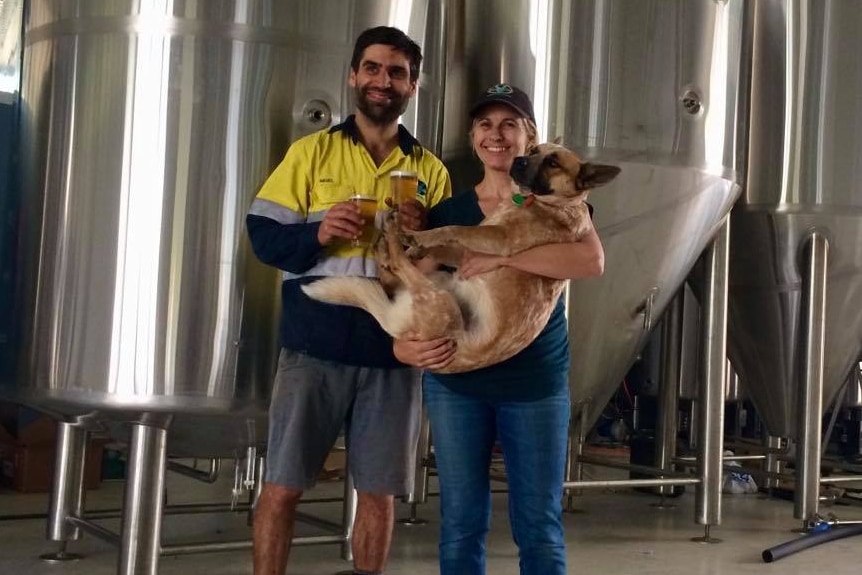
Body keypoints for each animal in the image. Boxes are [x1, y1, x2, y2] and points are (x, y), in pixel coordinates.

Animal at [304, 144, 620, 374]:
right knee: (390, 275)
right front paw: (419, 246)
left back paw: (394, 236)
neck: (541, 203)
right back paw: (388, 242)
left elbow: (452, 229)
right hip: (441, 281)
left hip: (442, 302)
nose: (517, 160)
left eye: (553, 162)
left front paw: (418, 238)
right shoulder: (469, 250)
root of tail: (396, 324)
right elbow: (446, 246)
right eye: (533, 150)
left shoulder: (499, 240)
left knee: (397, 266)